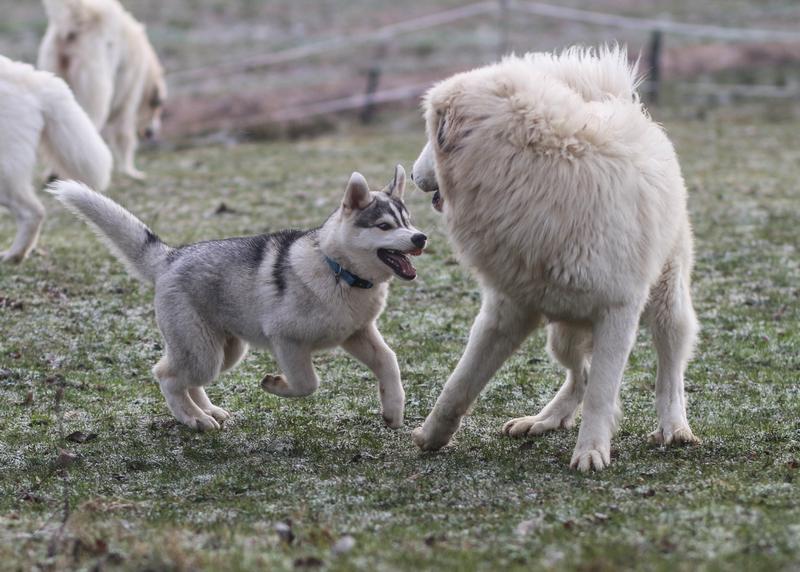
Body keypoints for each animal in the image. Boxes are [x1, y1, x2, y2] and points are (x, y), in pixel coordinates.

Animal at [39, 0, 168, 180]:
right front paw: (132, 171)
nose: (153, 132)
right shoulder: (130, 90)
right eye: (157, 104)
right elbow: (124, 129)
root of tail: (78, 17)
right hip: (94, 71)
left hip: (53, 64)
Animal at [49, 168, 424, 432]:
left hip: (225, 351)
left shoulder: (356, 333)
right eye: (385, 226)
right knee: (166, 375)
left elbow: (389, 361)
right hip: (204, 351)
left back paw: (207, 410)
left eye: (408, 221)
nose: (421, 237)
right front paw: (275, 384)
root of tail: (170, 257)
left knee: (183, 376)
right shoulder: (286, 341)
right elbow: (307, 383)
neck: (340, 273)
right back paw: (194, 419)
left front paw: (393, 410)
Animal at [412, 47, 700, 472]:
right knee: (579, 376)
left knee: (669, 371)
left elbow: (602, 393)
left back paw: (674, 427)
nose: (413, 176)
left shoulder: (619, 310)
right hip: (562, 330)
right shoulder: (506, 310)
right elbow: (459, 383)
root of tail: (616, 100)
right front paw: (432, 436)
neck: (534, 168)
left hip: (666, 302)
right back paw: (543, 420)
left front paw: (591, 452)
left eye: (432, 135)